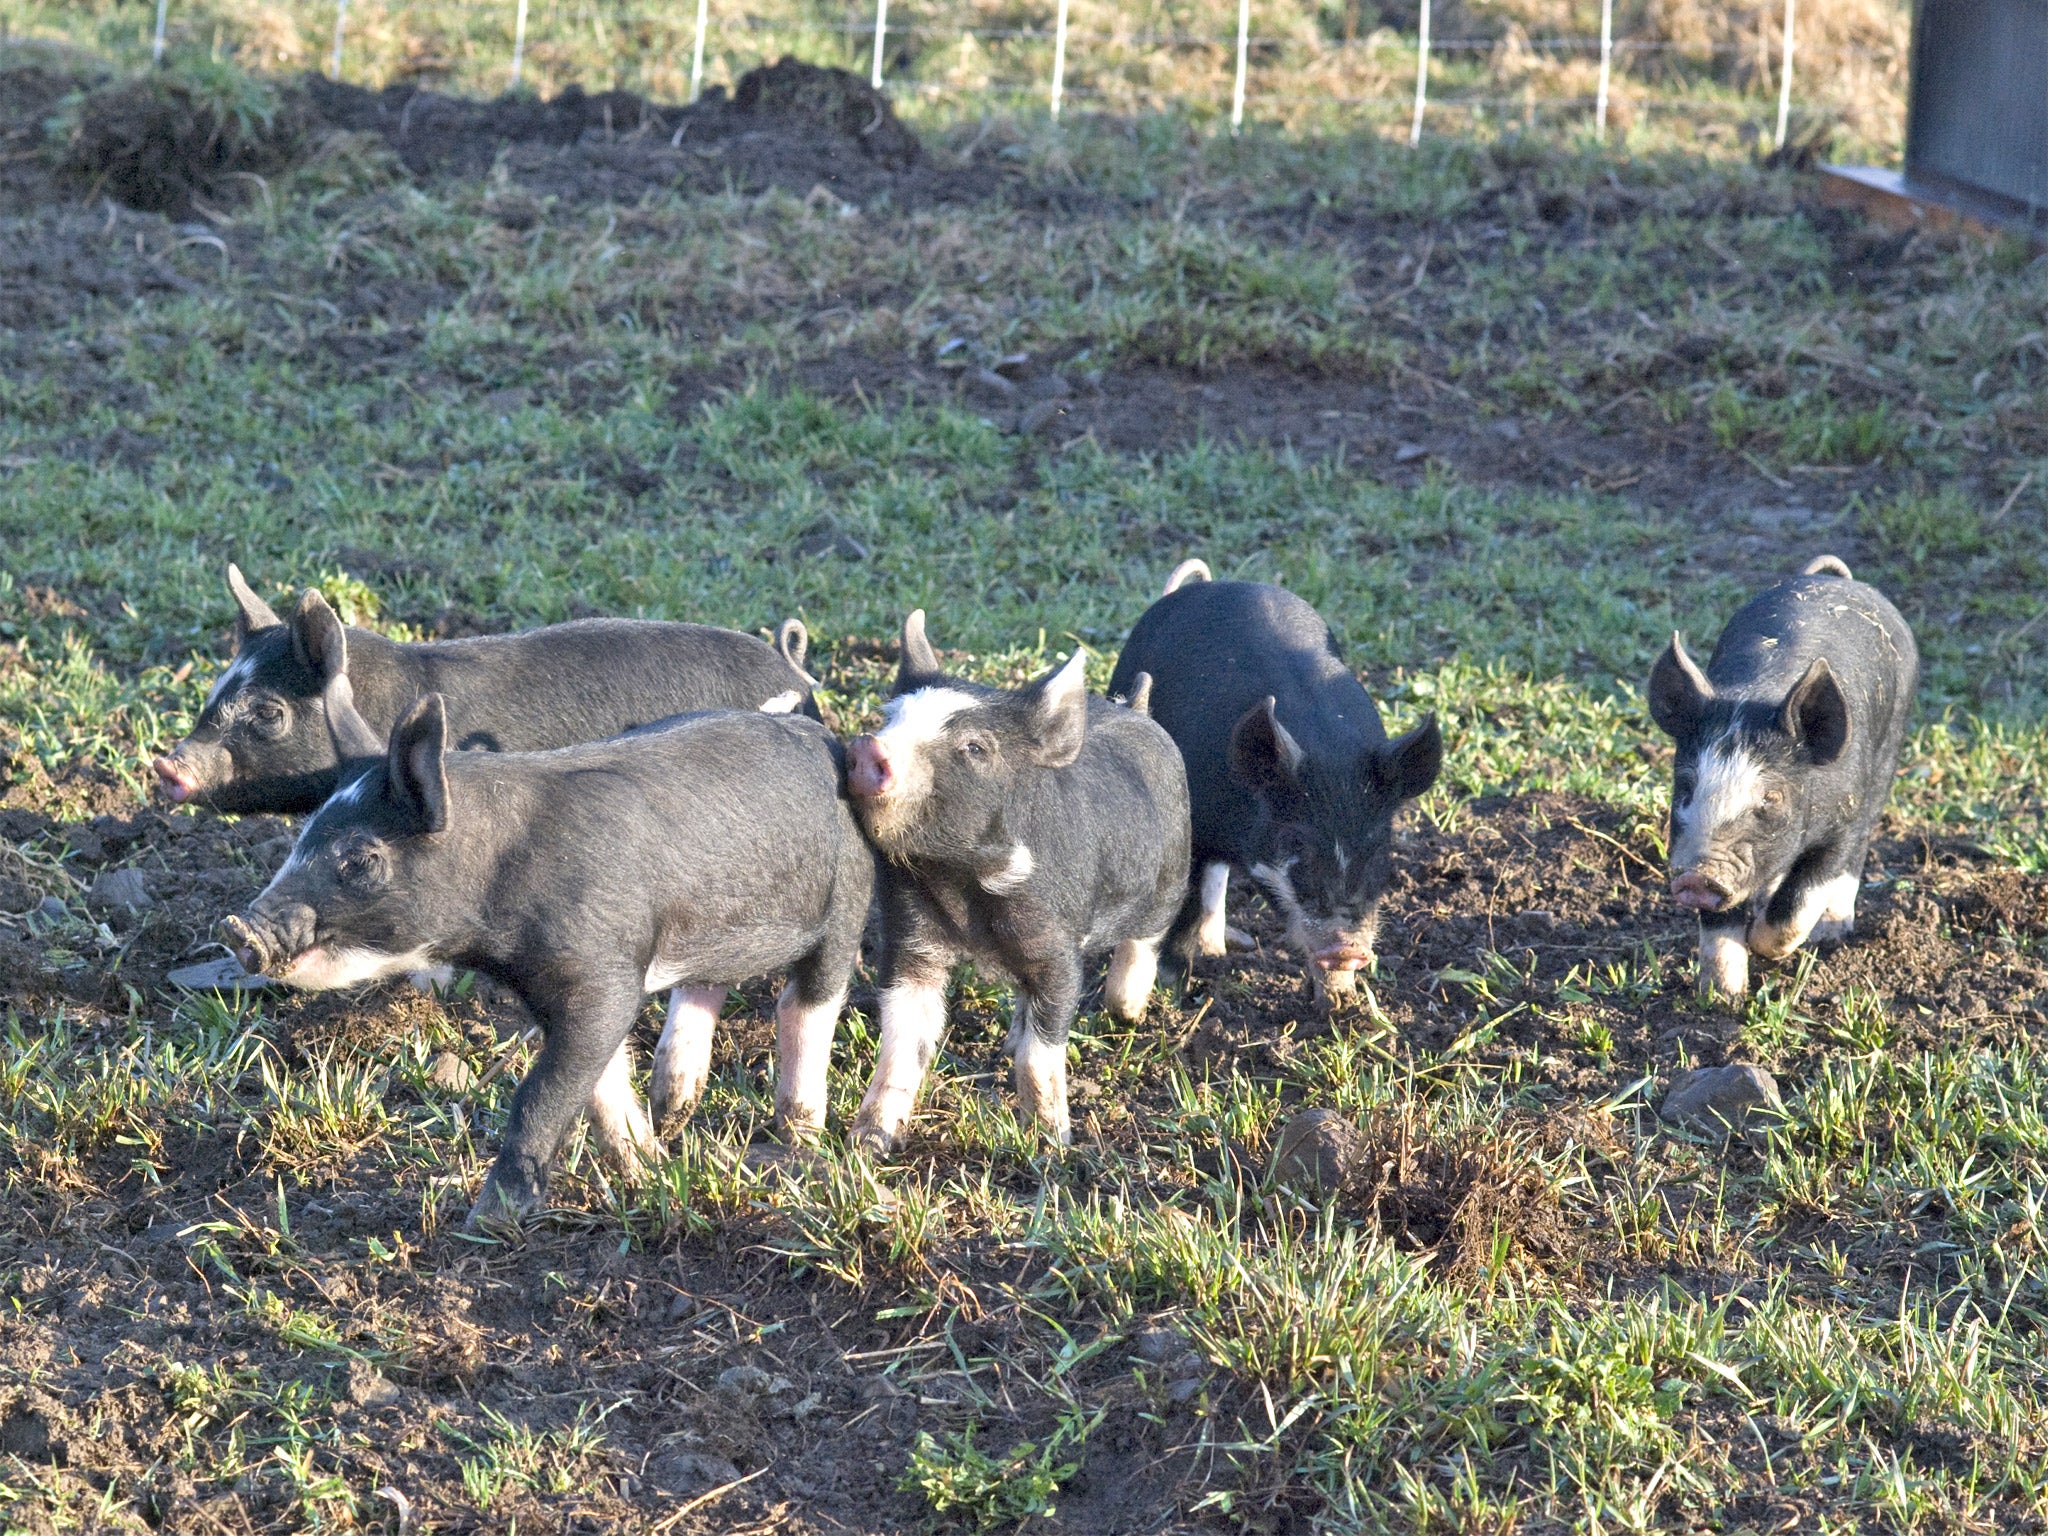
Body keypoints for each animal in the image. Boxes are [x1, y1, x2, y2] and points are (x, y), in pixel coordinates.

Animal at [220, 696, 876, 1228]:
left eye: (359, 858)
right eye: (302, 836)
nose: (239, 927)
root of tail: (825, 737)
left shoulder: (605, 975)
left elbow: (541, 1092)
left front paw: (485, 1224)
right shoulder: (543, 991)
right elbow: (601, 1086)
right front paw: (648, 1170)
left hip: (848, 897)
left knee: (808, 1003)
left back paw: (802, 1134)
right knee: (704, 988)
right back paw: (674, 1109)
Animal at [843, 614, 1196, 1155]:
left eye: (975, 748)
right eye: (888, 720)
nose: (867, 745)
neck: (962, 882)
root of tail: (1136, 707)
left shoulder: (1057, 949)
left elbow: (1042, 1052)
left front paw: (1052, 1146)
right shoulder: (910, 940)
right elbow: (901, 1045)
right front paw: (867, 1143)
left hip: (1171, 878)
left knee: (1145, 941)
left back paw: (1126, 1013)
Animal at [1105, 565, 1441, 1011]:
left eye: (1378, 843)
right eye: (1295, 841)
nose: (1346, 948)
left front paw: (1335, 1002)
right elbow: (1183, 902)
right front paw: (1171, 989)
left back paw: (1223, 947)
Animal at [1646, 561, 1916, 1003]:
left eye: (1771, 796)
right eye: (1685, 786)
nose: (1698, 876)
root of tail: (1836, 579)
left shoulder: (1841, 824)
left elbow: (1801, 899)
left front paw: (1763, 946)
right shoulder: (1712, 851)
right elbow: (1720, 924)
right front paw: (1721, 997)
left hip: (1887, 754)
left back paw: (1831, 932)